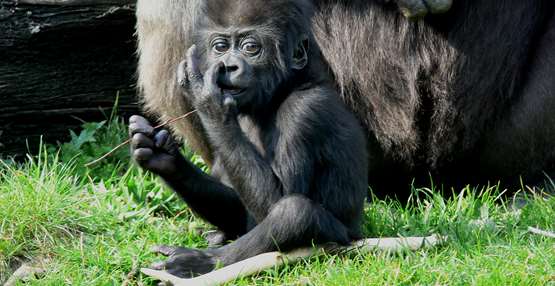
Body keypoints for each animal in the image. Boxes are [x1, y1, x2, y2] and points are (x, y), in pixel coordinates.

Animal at [130, 0, 370, 278]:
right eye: (220, 47)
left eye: (250, 48)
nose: (230, 66)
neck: (284, 90)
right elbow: (240, 199)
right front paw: (165, 159)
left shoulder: (304, 111)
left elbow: (279, 200)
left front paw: (209, 101)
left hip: (343, 240)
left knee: (295, 212)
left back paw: (204, 261)